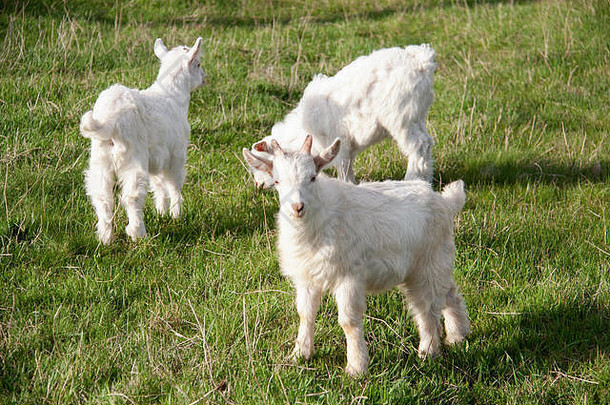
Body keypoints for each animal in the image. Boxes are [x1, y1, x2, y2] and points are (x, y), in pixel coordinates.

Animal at [81, 36, 205, 243]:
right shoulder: (176, 154)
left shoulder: (156, 156)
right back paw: (138, 233)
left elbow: (158, 184)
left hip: (100, 158)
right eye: (198, 64)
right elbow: (174, 184)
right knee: (132, 196)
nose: (204, 78)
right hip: (132, 156)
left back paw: (105, 237)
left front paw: (161, 211)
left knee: (102, 196)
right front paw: (176, 214)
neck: (172, 95)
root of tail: (108, 121)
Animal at [242, 134, 470, 374]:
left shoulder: (349, 277)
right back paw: (458, 336)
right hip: (435, 262)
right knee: (449, 294)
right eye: (277, 181)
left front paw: (356, 367)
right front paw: (299, 354)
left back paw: (428, 352)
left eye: (313, 177)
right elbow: (305, 314)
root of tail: (446, 202)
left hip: (427, 264)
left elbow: (348, 322)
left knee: (426, 309)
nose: (297, 207)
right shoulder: (307, 277)